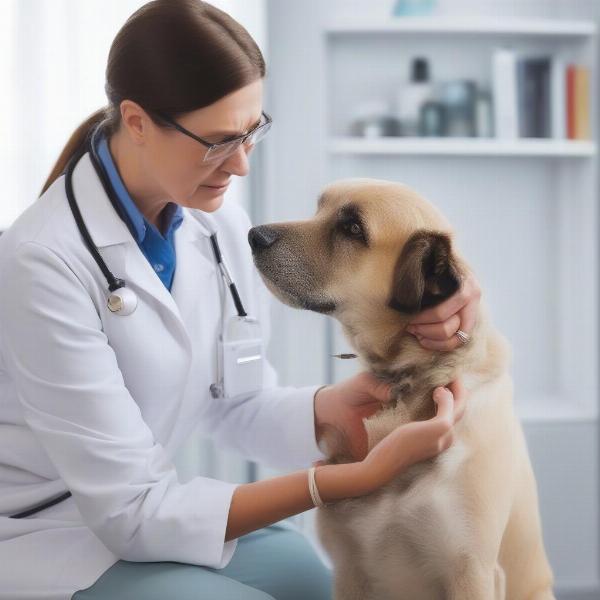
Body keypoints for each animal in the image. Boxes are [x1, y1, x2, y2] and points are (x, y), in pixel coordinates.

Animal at [247, 178, 552, 600]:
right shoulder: (348, 569)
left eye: (352, 228)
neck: (414, 379)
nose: (253, 235)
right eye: (320, 208)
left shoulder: (471, 570)